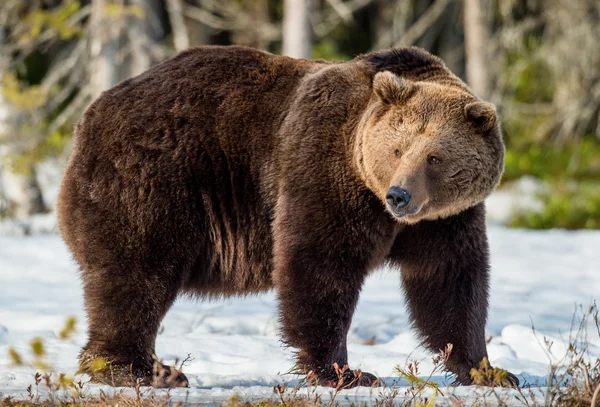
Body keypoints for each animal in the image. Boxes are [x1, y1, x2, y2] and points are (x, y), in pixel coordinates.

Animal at [57, 44, 520, 388]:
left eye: (434, 157)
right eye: (397, 149)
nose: (399, 195)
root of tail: (90, 113)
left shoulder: (445, 220)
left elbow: (449, 282)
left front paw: (490, 371)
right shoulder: (324, 167)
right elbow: (319, 265)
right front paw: (346, 372)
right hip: (153, 178)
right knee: (137, 273)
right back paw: (138, 369)